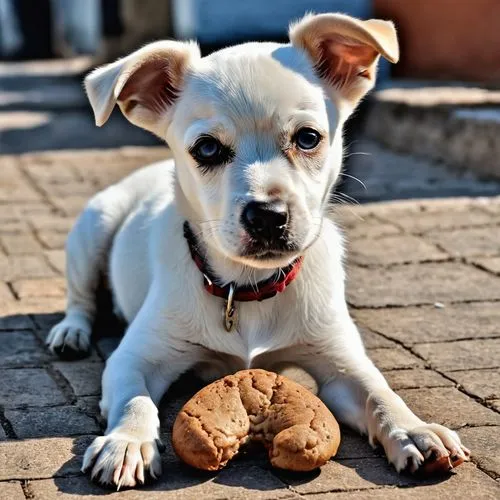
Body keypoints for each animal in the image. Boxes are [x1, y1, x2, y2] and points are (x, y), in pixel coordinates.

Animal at [47, 13, 468, 490]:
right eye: (206, 148)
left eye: (308, 138)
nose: (268, 215)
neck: (245, 288)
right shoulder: (134, 357)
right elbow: (134, 399)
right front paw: (128, 442)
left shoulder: (341, 363)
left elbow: (379, 393)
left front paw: (414, 430)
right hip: (93, 229)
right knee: (81, 299)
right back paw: (70, 334)